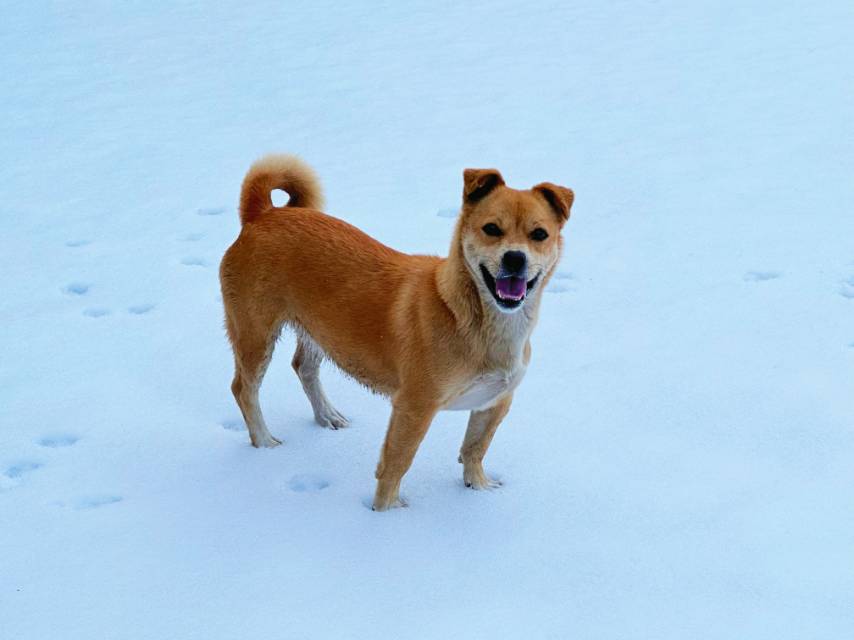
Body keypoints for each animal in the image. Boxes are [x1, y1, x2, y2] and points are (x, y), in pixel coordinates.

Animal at [219, 155, 576, 510]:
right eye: (491, 229)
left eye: (539, 234)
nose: (515, 258)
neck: (468, 317)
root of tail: (263, 214)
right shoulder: (413, 407)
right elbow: (396, 463)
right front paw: (385, 513)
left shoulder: (496, 402)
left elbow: (475, 449)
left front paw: (478, 488)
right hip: (255, 333)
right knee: (243, 389)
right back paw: (264, 442)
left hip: (320, 329)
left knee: (303, 367)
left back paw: (326, 416)